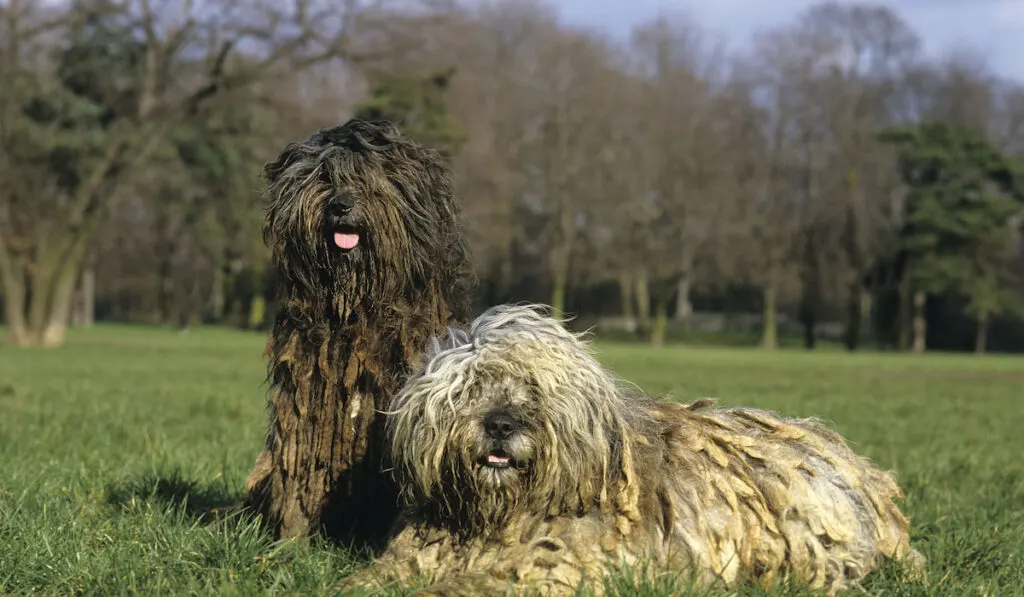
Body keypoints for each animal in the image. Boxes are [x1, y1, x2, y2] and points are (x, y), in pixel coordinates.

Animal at [243, 120, 475, 544]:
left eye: (368, 179)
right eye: (323, 177)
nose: (340, 205)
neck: (356, 310)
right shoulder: (308, 397)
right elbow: (303, 464)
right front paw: (292, 540)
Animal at [339, 305, 925, 593]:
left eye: (532, 387)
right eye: (472, 387)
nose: (500, 425)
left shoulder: (559, 562)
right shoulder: (420, 549)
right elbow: (378, 575)